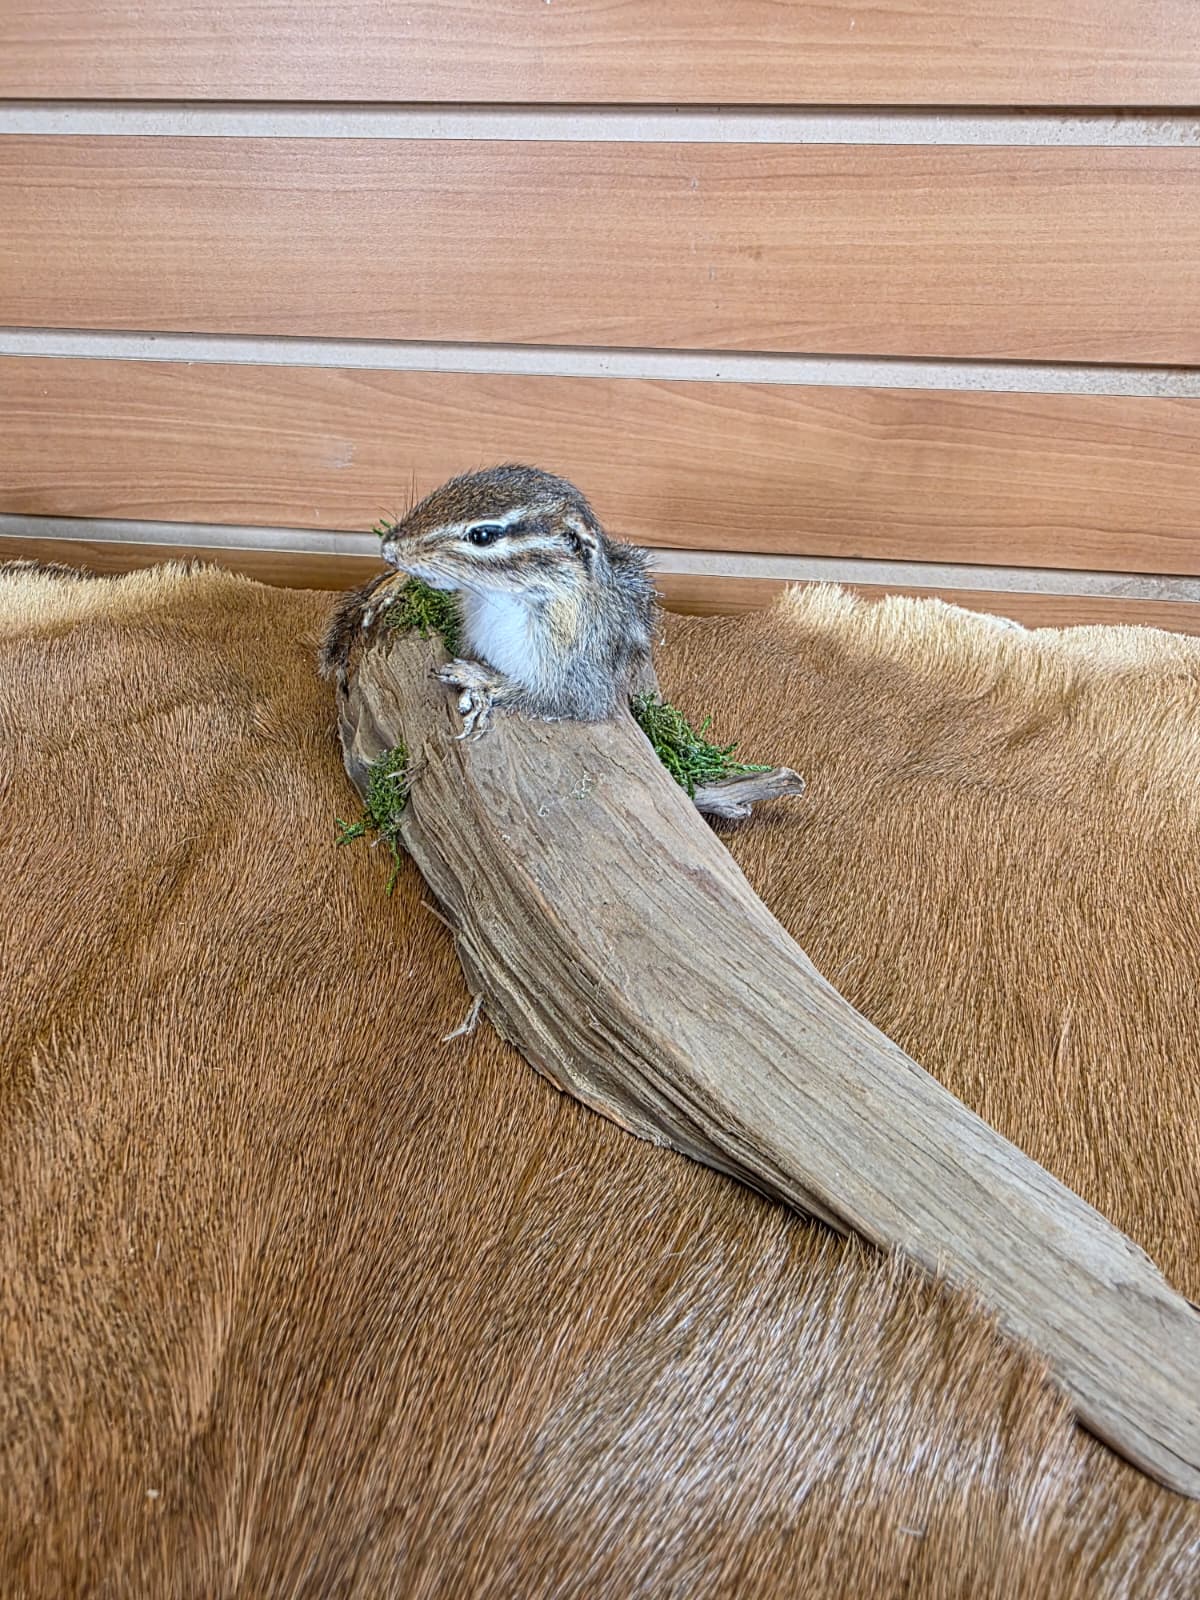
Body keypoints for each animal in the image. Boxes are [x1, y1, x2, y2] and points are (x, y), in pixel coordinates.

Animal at [320, 465, 659, 738]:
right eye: (449, 487)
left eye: (482, 535)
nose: (389, 549)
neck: (503, 601)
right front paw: (390, 586)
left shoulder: (585, 678)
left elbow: (558, 699)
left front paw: (478, 680)